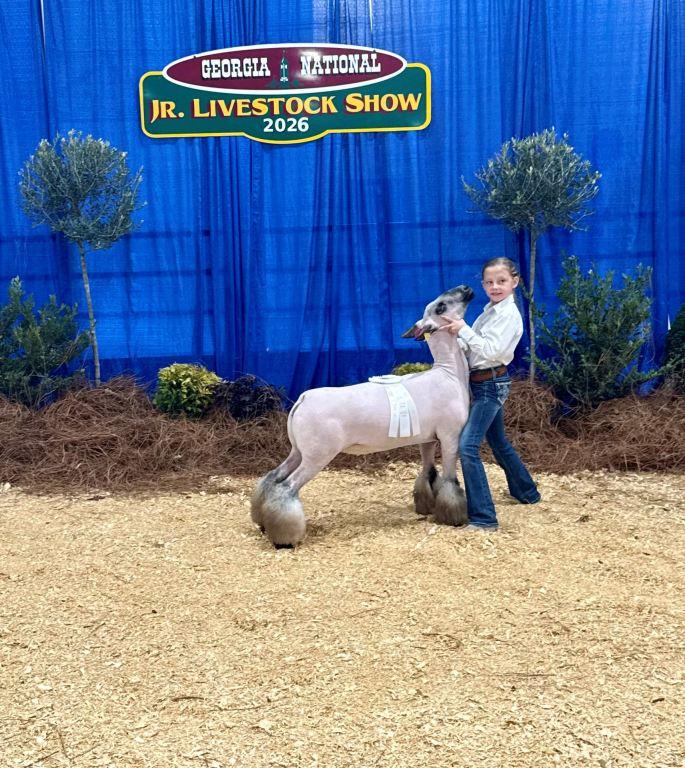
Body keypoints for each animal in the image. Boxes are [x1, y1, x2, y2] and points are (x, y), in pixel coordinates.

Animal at [251, 284, 475, 547]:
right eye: (441, 306)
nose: (466, 288)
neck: (448, 373)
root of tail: (303, 400)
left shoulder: (427, 438)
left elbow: (428, 472)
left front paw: (427, 507)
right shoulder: (450, 434)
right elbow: (450, 479)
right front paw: (454, 516)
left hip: (299, 451)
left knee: (272, 478)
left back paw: (262, 522)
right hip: (317, 455)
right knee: (286, 487)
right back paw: (285, 539)